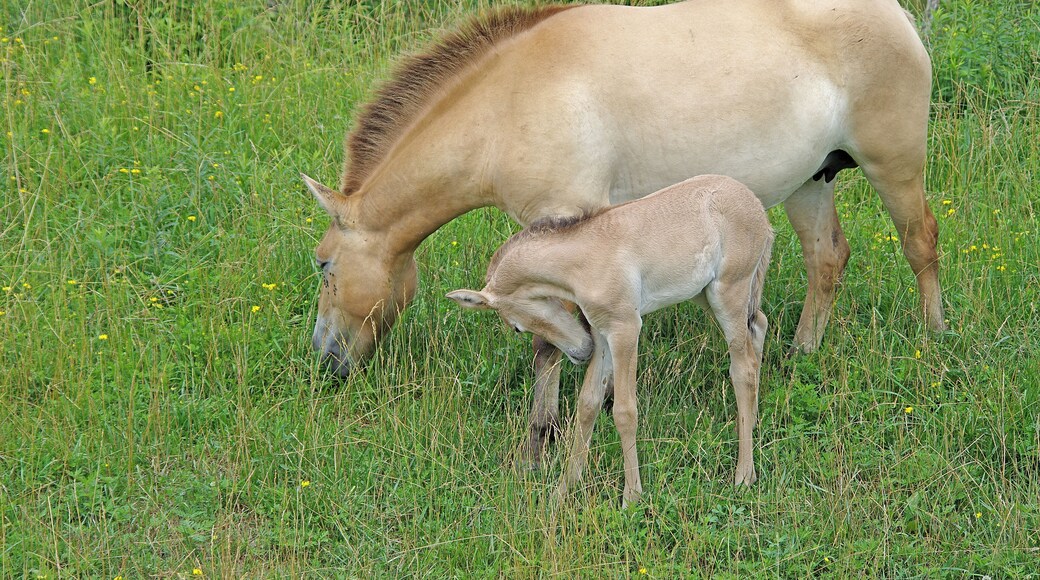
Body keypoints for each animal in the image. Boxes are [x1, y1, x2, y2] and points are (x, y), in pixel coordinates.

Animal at [302, 0, 945, 467]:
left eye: (324, 265)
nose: (325, 358)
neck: (509, 104)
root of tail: (897, 15)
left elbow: (550, 345)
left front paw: (542, 441)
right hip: (812, 181)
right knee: (826, 260)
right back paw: (799, 355)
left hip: (894, 166)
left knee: (921, 244)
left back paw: (936, 340)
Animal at [448, 175, 774, 506]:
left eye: (516, 327)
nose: (581, 351)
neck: (584, 260)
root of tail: (754, 204)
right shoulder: (600, 332)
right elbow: (587, 404)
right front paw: (563, 490)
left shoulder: (625, 329)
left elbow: (624, 411)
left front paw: (631, 496)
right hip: (704, 295)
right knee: (758, 325)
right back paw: (753, 425)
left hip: (728, 293)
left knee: (743, 369)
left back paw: (744, 475)